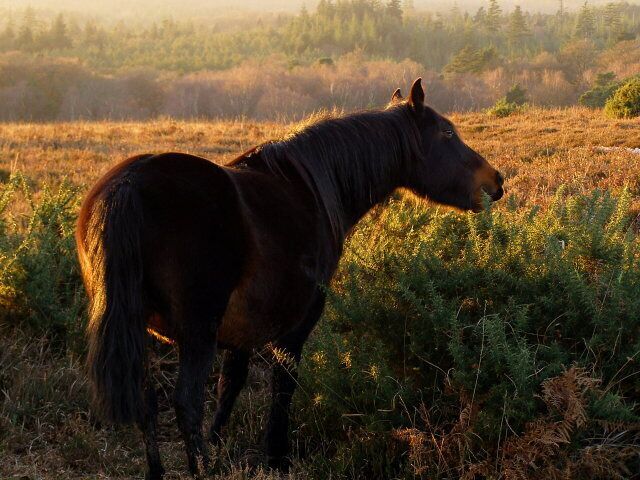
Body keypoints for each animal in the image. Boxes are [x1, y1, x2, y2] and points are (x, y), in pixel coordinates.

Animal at [76, 78, 504, 479]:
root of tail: (128, 185)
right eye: (446, 133)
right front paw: (276, 457)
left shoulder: (241, 331)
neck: (309, 190)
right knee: (185, 402)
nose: (496, 182)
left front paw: (220, 447)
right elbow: (282, 387)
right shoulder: (296, 325)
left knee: (147, 402)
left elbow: (230, 386)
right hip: (197, 332)